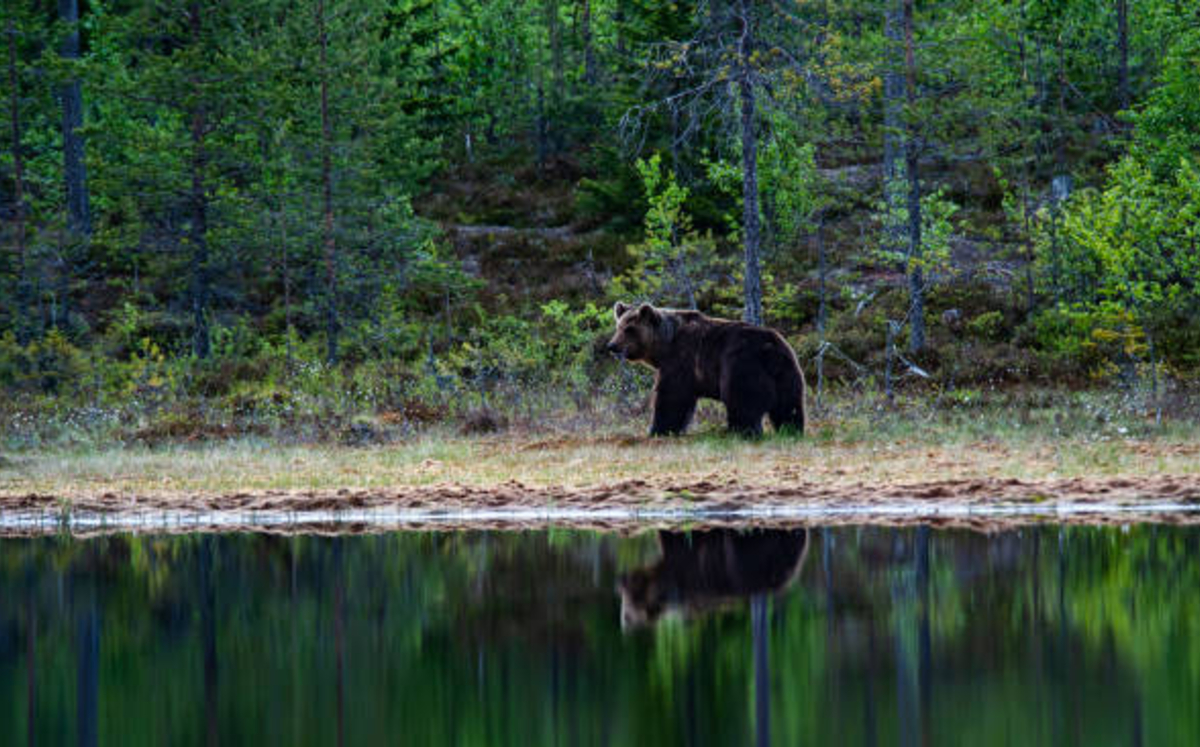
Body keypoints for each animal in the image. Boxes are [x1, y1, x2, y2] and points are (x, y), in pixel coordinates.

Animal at [606, 302, 806, 437]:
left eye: (630, 329)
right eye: (618, 326)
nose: (612, 346)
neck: (665, 345)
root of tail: (769, 348)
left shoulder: (681, 360)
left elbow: (672, 397)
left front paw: (659, 429)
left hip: (740, 364)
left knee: (742, 401)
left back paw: (741, 432)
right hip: (788, 371)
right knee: (788, 406)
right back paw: (791, 430)